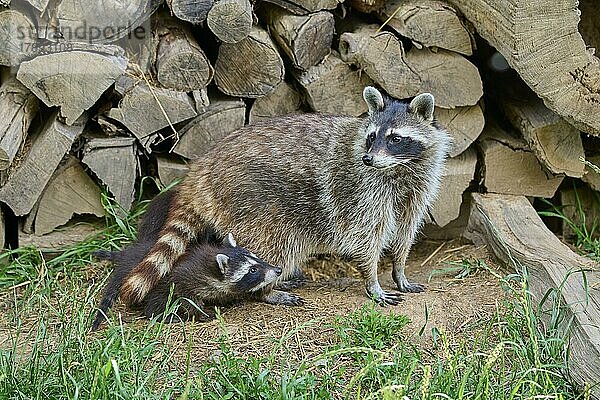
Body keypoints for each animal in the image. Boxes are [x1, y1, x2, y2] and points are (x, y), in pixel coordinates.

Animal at [90, 233, 282, 330]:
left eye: (257, 259)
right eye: (252, 270)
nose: (278, 270)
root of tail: (127, 255)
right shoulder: (183, 277)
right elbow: (187, 299)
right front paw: (201, 312)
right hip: (151, 280)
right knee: (156, 300)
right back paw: (161, 314)